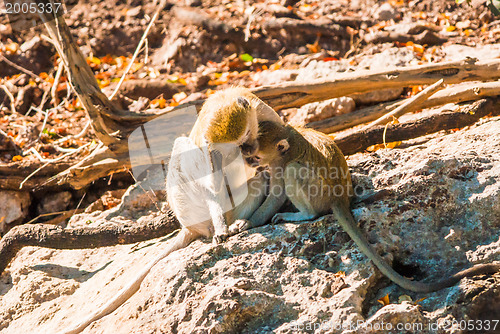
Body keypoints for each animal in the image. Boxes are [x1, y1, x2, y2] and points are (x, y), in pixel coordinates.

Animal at [61, 87, 286, 332]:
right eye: (237, 146)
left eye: (246, 137)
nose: (249, 152)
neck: (222, 99)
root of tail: (191, 227)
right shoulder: (211, 149)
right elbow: (211, 183)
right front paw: (221, 228)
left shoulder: (263, 111)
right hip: (203, 206)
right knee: (184, 148)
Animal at [247, 121, 500, 294]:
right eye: (246, 149)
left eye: (256, 156)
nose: (248, 161)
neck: (289, 134)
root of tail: (340, 198)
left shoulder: (279, 163)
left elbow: (277, 193)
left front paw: (246, 224)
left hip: (316, 193)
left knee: (295, 173)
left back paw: (304, 214)